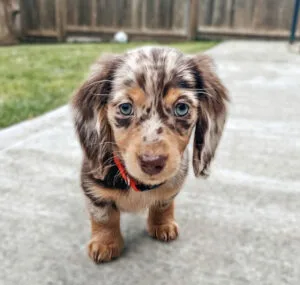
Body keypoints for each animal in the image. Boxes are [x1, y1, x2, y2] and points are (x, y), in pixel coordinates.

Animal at [72, 46, 227, 262]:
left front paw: (162, 224)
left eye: (182, 108)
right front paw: (105, 243)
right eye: (125, 108)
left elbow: (163, 204)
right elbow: (104, 216)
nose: (152, 162)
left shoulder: (172, 186)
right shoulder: (93, 187)